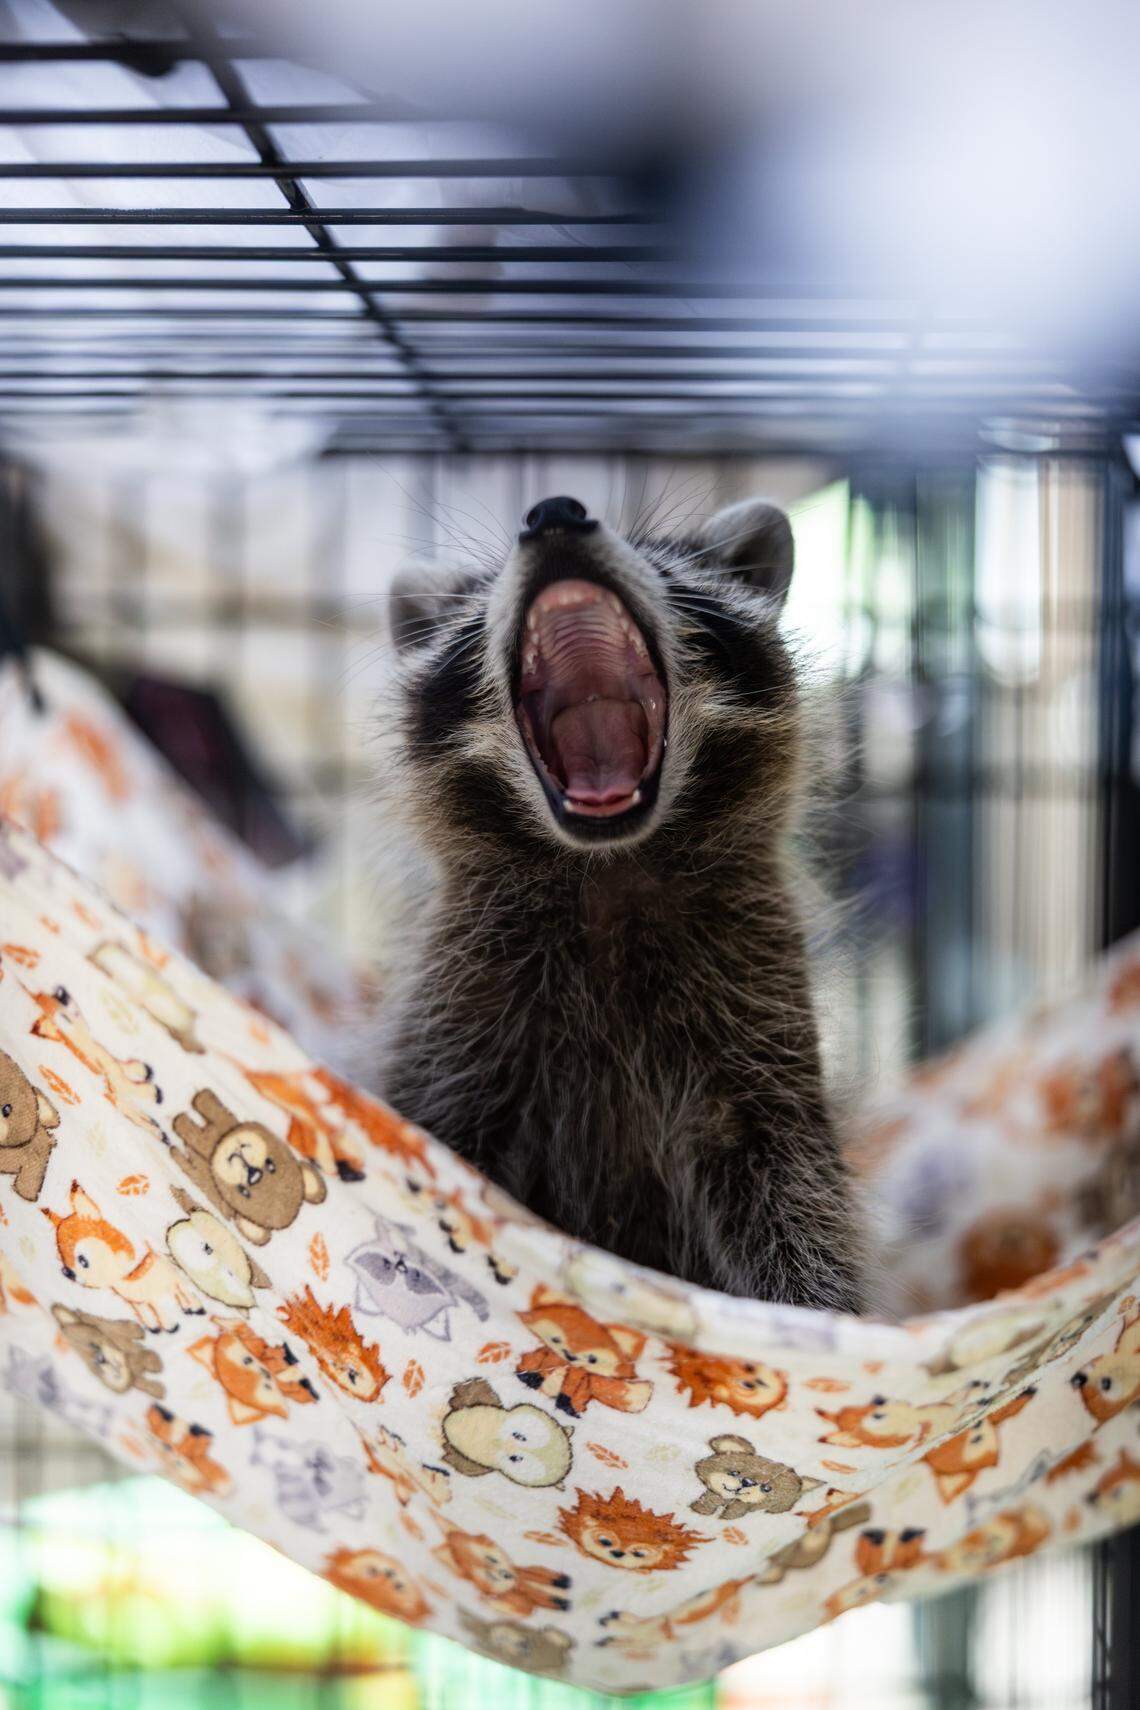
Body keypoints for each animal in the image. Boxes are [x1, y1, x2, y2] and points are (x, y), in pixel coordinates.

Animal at [371, 493, 864, 1311]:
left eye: (664, 566)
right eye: (480, 604)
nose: (554, 512)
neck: (608, 867)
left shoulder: (760, 1011)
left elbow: (797, 1201)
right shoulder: (457, 1013)